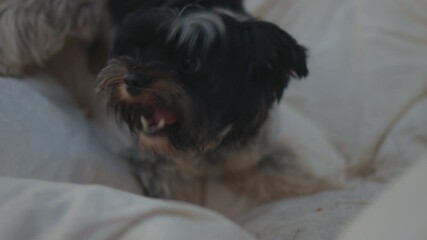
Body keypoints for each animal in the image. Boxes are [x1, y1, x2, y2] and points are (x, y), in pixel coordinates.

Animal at [97, 0, 344, 211]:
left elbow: (285, 170)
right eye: (138, 48)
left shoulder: (253, 150)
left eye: (190, 62)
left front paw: (331, 183)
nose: (131, 80)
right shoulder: (156, 164)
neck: (206, 144)